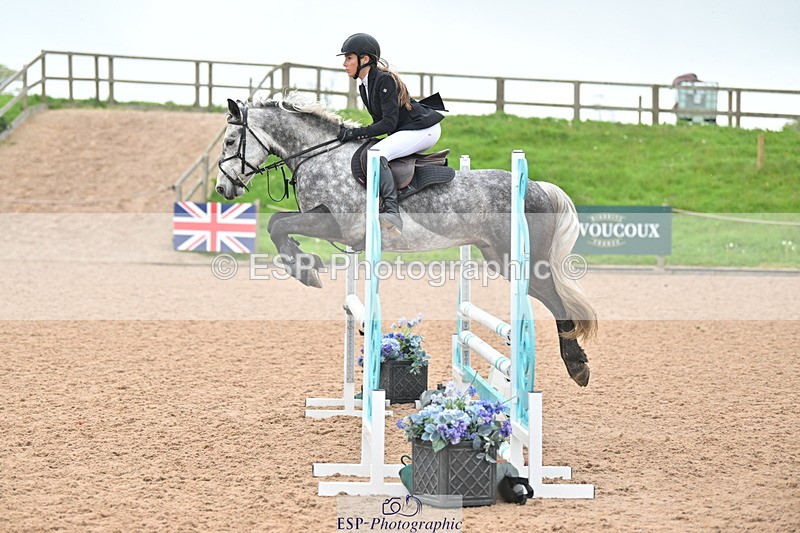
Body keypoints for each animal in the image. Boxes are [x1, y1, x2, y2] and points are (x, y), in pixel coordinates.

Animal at [215, 93, 597, 387]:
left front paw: (303, 268)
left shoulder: (338, 225)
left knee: (555, 299)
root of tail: (536, 186)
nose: (222, 189)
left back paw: (577, 365)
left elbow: (278, 224)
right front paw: (302, 263)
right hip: (498, 258)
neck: (320, 156)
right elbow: (279, 223)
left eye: (231, 142)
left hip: (520, 260)